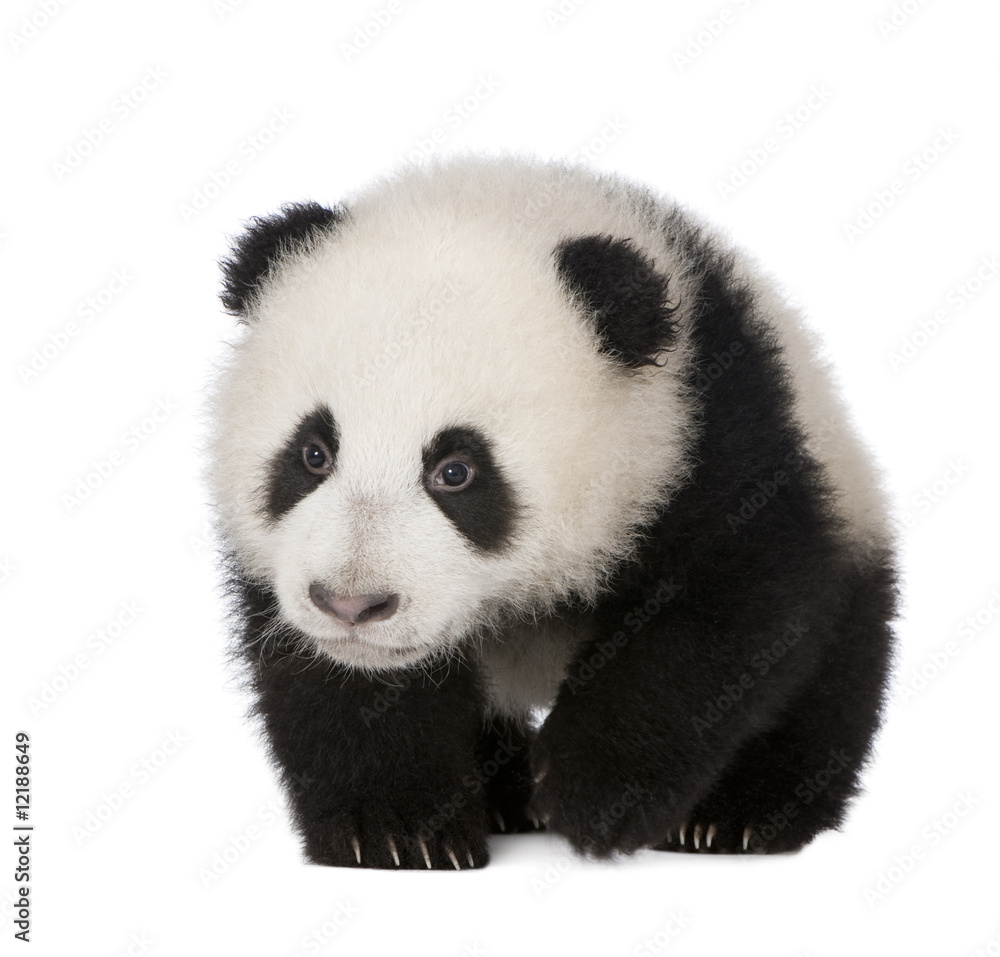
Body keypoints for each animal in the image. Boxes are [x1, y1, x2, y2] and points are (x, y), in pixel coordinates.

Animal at [207, 155, 897, 870]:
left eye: (456, 471)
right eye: (313, 453)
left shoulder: (715, 437)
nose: (351, 605)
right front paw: (395, 829)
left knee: (831, 678)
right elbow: (331, 683)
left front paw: (593, 791)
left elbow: (720, 617)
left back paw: (741, 815)